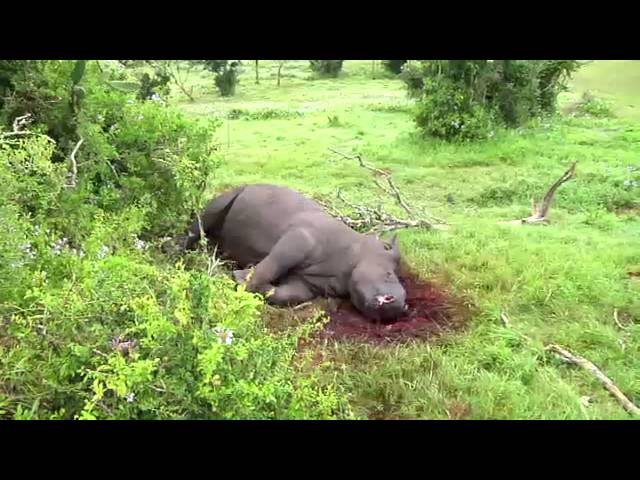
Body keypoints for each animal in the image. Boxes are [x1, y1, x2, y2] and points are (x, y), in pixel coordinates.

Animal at [184, 184, 407, 322]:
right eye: (388, 274)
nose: (401, 306)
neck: (355, 254)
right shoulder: (300, 238)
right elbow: (275, 263)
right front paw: (241, 279)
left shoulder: (308, 284)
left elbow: (290, 295)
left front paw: (250, 282)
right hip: (235, 191)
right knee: (210, 213)